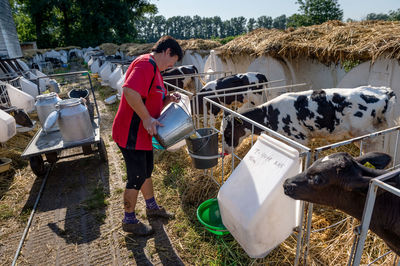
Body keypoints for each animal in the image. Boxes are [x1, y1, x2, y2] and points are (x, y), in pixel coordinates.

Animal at [222, 87, 396, 153]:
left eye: (229, 131)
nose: (224, 151)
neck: (270, 115)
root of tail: (383, 91)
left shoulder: (300, 139)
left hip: (366, 135)